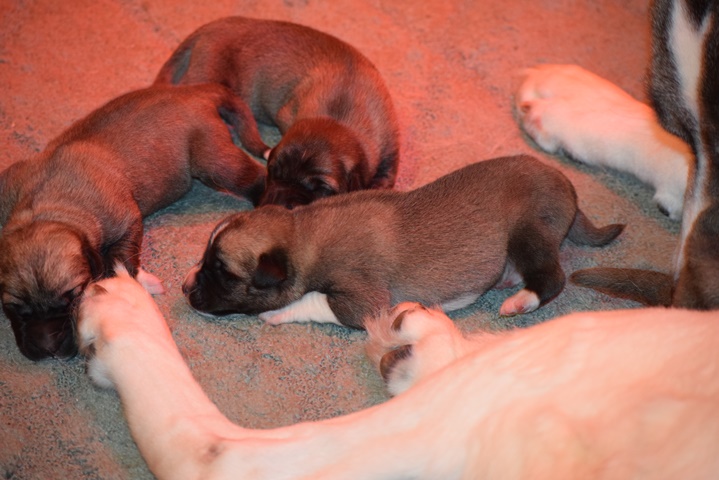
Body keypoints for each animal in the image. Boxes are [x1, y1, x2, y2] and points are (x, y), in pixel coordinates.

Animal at [0, 83, 267, 360]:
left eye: (73, 297)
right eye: (13, 307)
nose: (48, 350)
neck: (45, 208)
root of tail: (193, 91)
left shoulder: (126, 222)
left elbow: (121, 258)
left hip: (216, 163)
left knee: (257, 177)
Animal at [154, 16, 400, 208]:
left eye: (321, 188)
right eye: (272, 171)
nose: (273, 207)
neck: (339, 115)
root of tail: (209, 27)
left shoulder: (390, 147)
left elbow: (384, 179)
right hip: (207, 73)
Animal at [181, 155, 624, 327]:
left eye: (223, 273)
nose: (186, 288)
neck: (303, 231)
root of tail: (567, 187)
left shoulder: (363, 301)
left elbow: (314, 300)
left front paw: (276, 313)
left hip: (529, 232)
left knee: (552, 277)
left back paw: (519, 300)